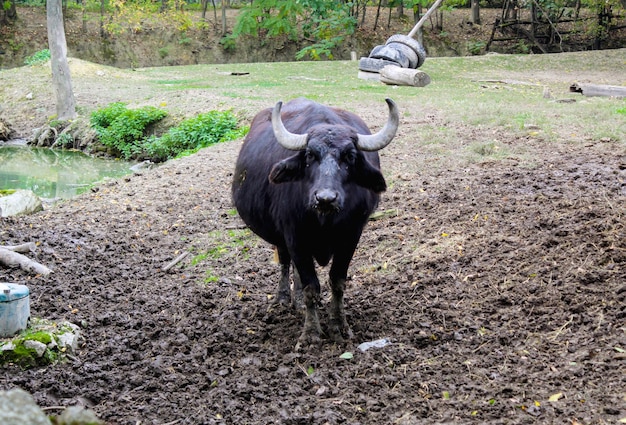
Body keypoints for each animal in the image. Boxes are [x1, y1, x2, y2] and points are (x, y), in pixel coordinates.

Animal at [232, 97, 398, 350]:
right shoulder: (295, 237)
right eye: (309, 155)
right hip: (281, 238)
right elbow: (311, 285)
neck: (324, 221)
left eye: (350, 156)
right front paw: (311, 333)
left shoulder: (351, 237)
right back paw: (284, 299)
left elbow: (337, 281)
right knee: (285, 262)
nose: (325, 198)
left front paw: (339, 326)